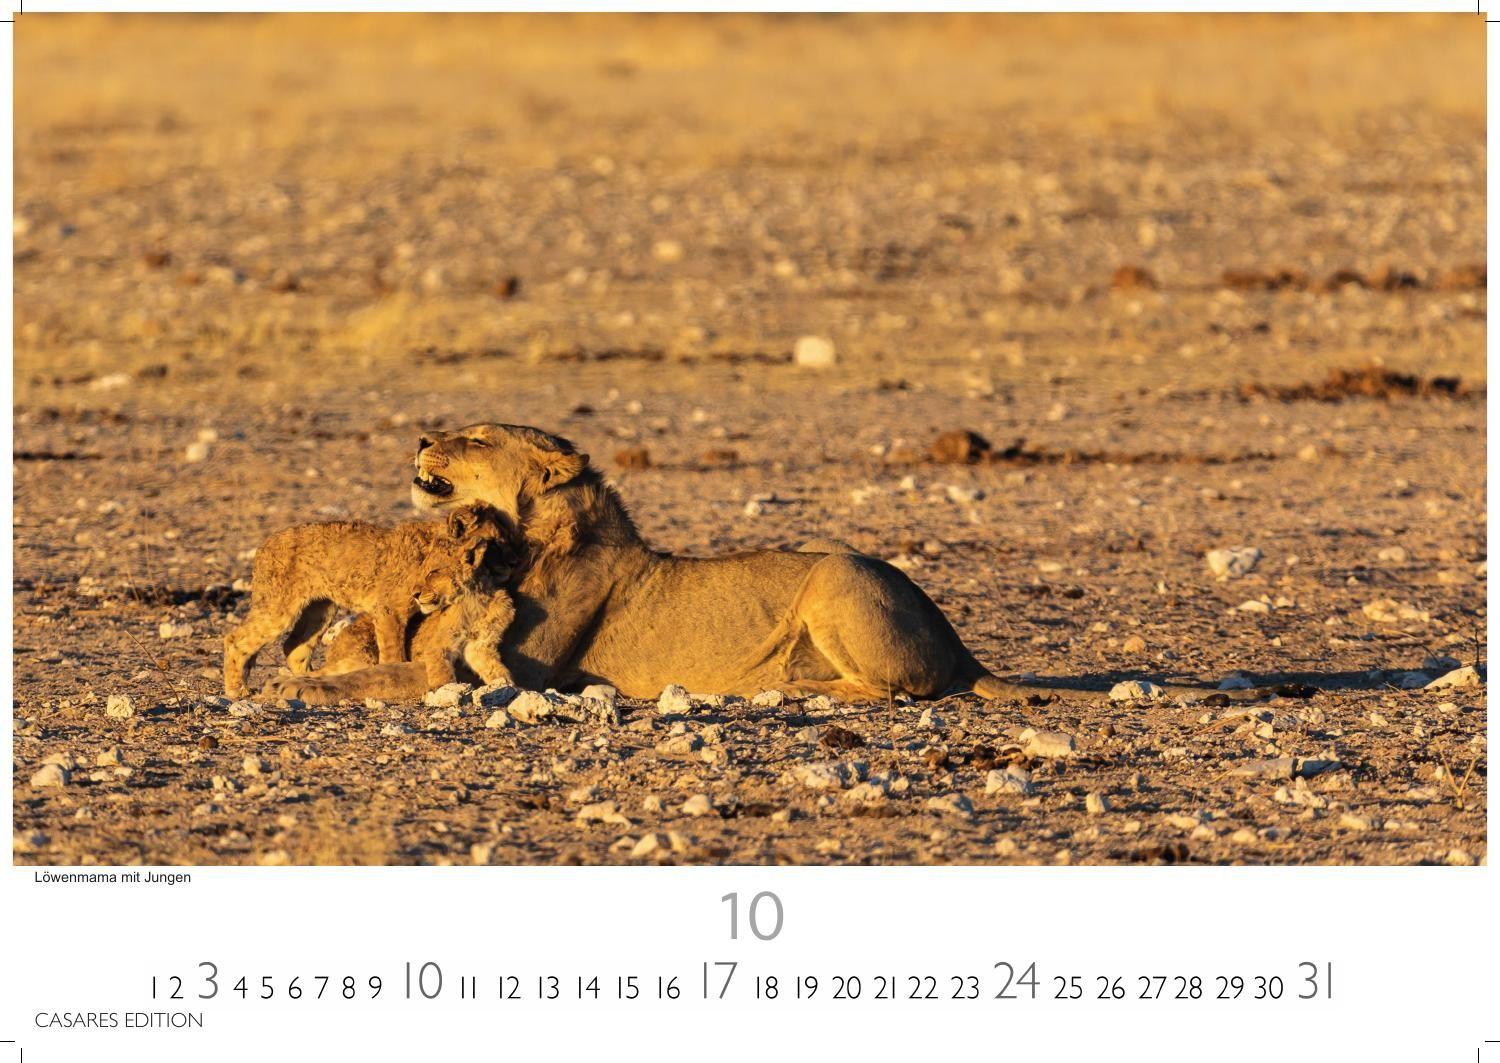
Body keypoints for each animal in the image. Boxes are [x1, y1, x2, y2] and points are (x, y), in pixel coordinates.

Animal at [225, 504, 515, 698]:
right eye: (497, 542)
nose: (513, 564)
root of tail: (264, 545)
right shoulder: (389, 610)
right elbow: (393, 653)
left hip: (320, 611)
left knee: (294, 647)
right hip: (278, 608)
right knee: (236, 639)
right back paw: (237, 691)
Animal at [262, 423, 1021, 705]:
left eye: (476, 438)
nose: (422, 438)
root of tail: (957, 638)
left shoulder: (515, 670)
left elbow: (385, 674)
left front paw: (296, 686)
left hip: (836, 573)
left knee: (890, 687)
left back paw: (794, 686)